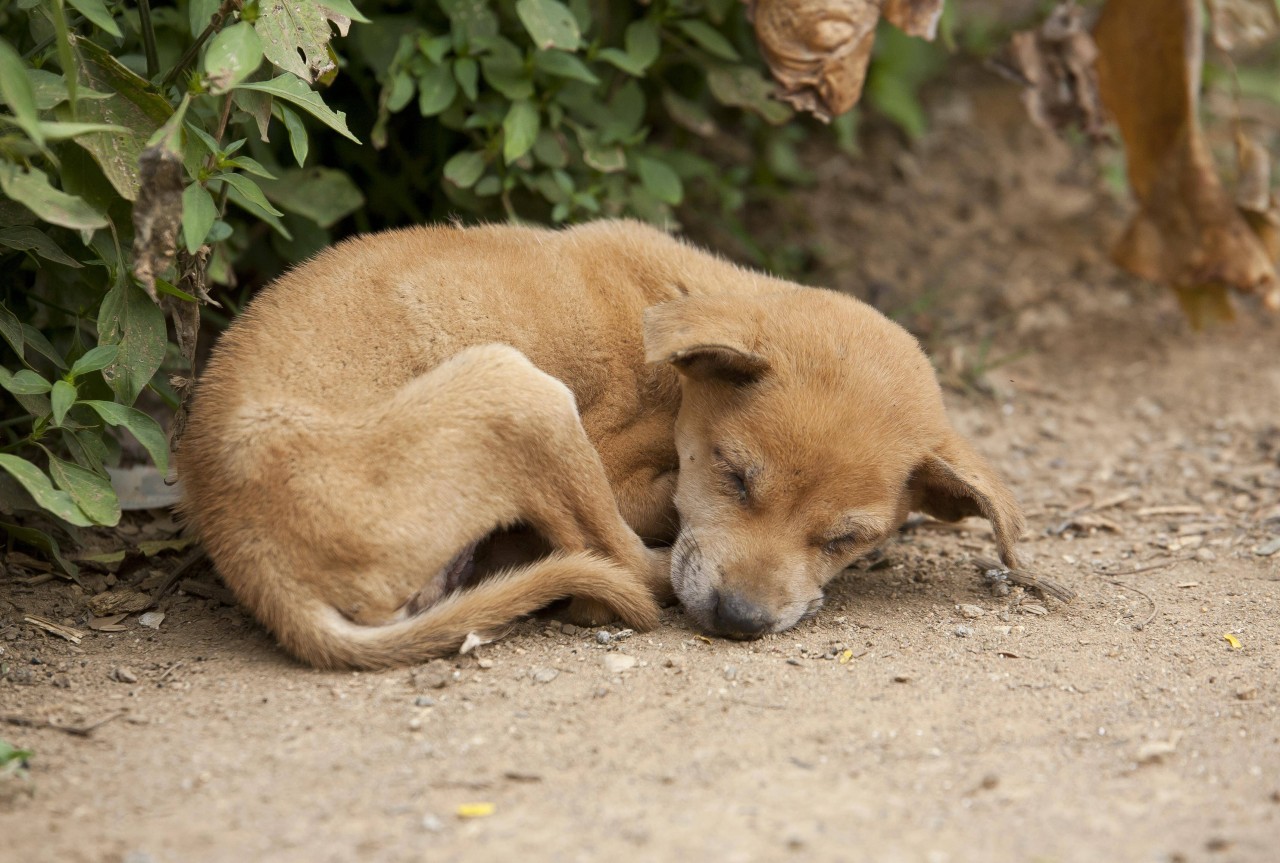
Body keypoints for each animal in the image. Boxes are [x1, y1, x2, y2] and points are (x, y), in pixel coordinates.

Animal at [177, 218, 1018, 670]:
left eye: (846, 538)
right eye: (735, 476)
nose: (739, 618)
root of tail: (256, 563)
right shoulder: (618, 465)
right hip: (519, 390)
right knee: (626, 568)